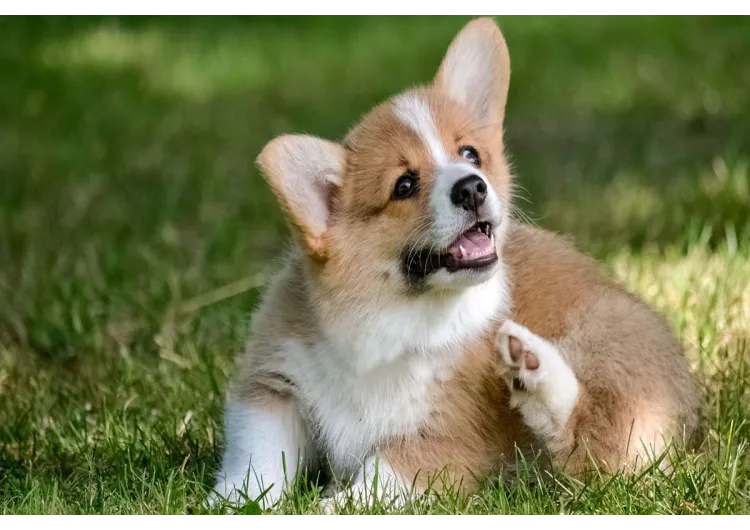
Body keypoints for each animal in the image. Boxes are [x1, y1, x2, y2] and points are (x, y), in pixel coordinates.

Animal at [210, 18, 700, 510]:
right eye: (404, 185)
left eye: (470, 154)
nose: (472, 187)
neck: (392, 316)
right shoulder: (275, 386)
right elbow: (255, 459)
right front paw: (229, 504)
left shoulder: (442, 442)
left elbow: (373, 485)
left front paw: (326, 509)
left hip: (609, 347)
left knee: (595, 447)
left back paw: (532, 367)